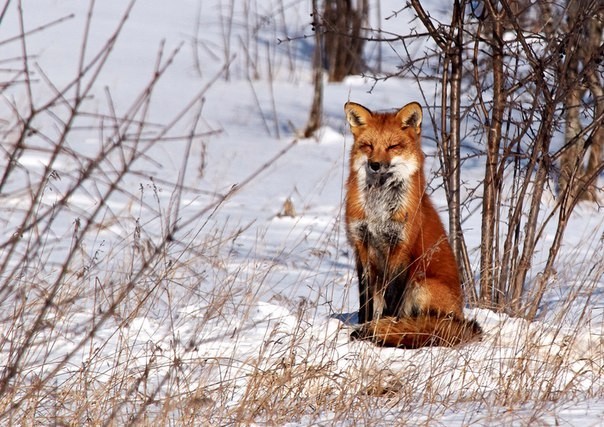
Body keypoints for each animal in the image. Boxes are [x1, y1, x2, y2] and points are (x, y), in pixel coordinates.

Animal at [344, 102, 482, 350]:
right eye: (368, 146)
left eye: (393, 146)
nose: (375, 165)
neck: (379, 211)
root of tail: (460, 318)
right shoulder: (362, 245)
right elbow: (365, 296)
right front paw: (364, 322)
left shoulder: (401, 247)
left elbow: (391, 296)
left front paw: (380, 326)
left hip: (421, 284)